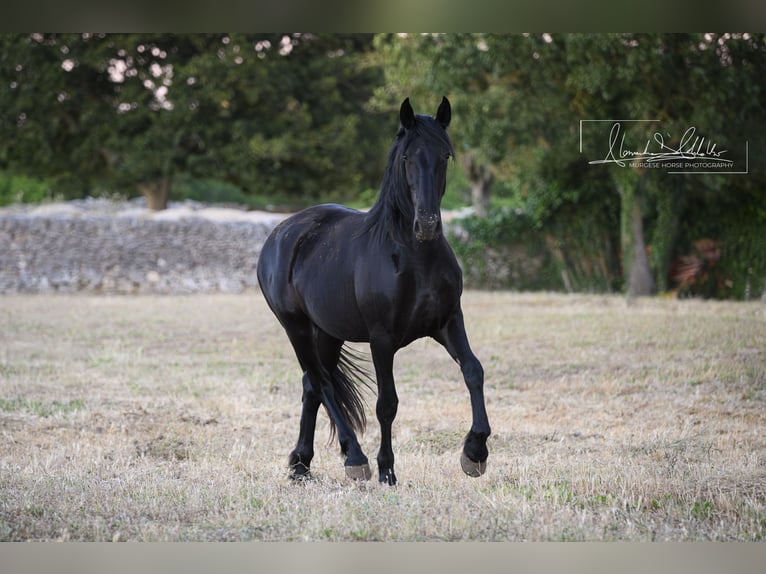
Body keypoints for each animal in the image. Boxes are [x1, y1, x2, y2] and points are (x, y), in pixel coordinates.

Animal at [256, 97, 491, 485]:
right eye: (407, 157)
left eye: (445, 155)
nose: (427, 225)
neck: (415, 257)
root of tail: (281, 233)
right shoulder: (382, 339)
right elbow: (387, 404)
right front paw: (386, 470)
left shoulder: (448, 322)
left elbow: (473, 371)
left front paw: (475, 452)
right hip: (296, 327)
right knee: (321, 382)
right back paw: (354, 458)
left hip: (328, 332)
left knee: (311, 386)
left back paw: (301, 465)